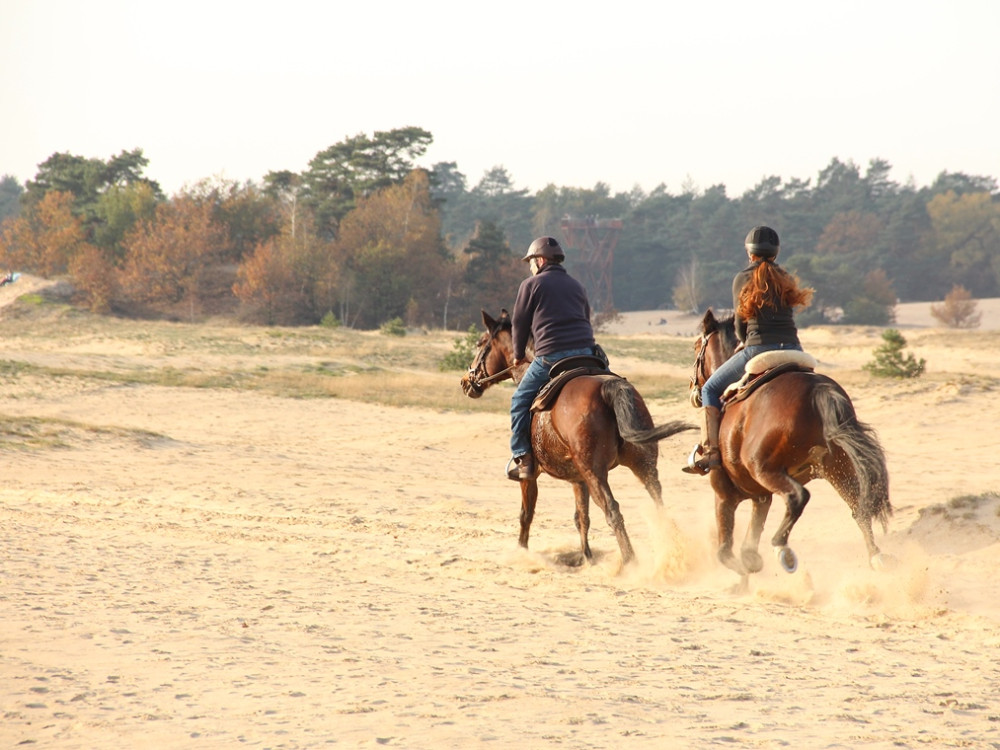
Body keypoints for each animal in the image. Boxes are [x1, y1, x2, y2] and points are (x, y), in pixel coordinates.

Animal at [462, 308, 692, 568]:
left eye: (480, 343)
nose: (466, 381)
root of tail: (608, 388)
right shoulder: (578, 480)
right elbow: (582, 516)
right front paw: (587, 558)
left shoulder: (529, 475)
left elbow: (526, 514)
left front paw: (521, 552)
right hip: (643, 464)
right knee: (659, 504)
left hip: (595, 472)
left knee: (613, 511)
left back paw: (630, 563)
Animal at [692, 308, 896, 584]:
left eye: (696, 348)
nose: (694, 390)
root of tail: (819, 390)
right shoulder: (761, 497)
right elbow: (749, 541)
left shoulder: (725, 496)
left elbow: (725, 552)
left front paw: (746, 573)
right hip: (838, 469)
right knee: (859, 509)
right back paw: (876, 558)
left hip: (768, 470)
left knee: (798, 497)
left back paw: (783, 549)